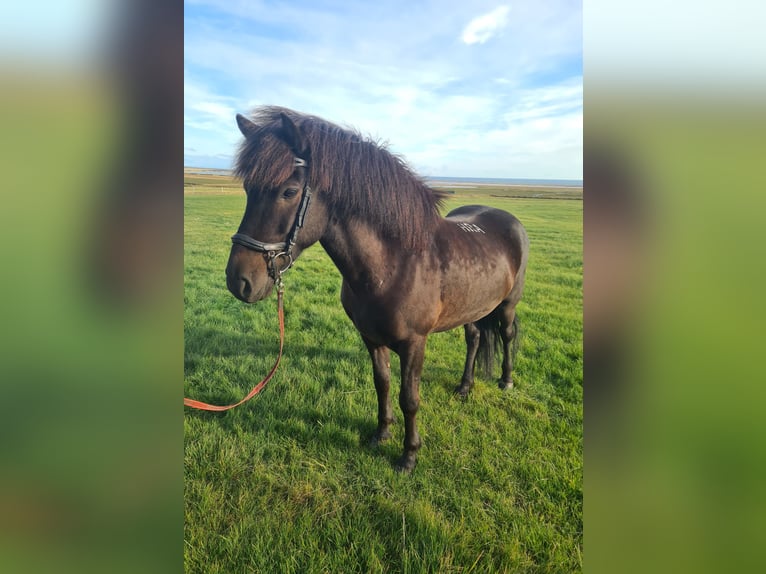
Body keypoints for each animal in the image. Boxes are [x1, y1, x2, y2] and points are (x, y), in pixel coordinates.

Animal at [228, 107, 528, 472]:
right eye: (247, 188)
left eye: (288, 191)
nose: (239, 281)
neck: (394, 263)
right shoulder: (371, 338)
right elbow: (381, 384)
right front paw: (382, 433)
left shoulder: (414, 343)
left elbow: (409, 398)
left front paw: (409, 455)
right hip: (471, 307)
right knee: (473, 339)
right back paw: (464, 387)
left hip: (508, 305)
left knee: (507, 335)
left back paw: (506, 381)